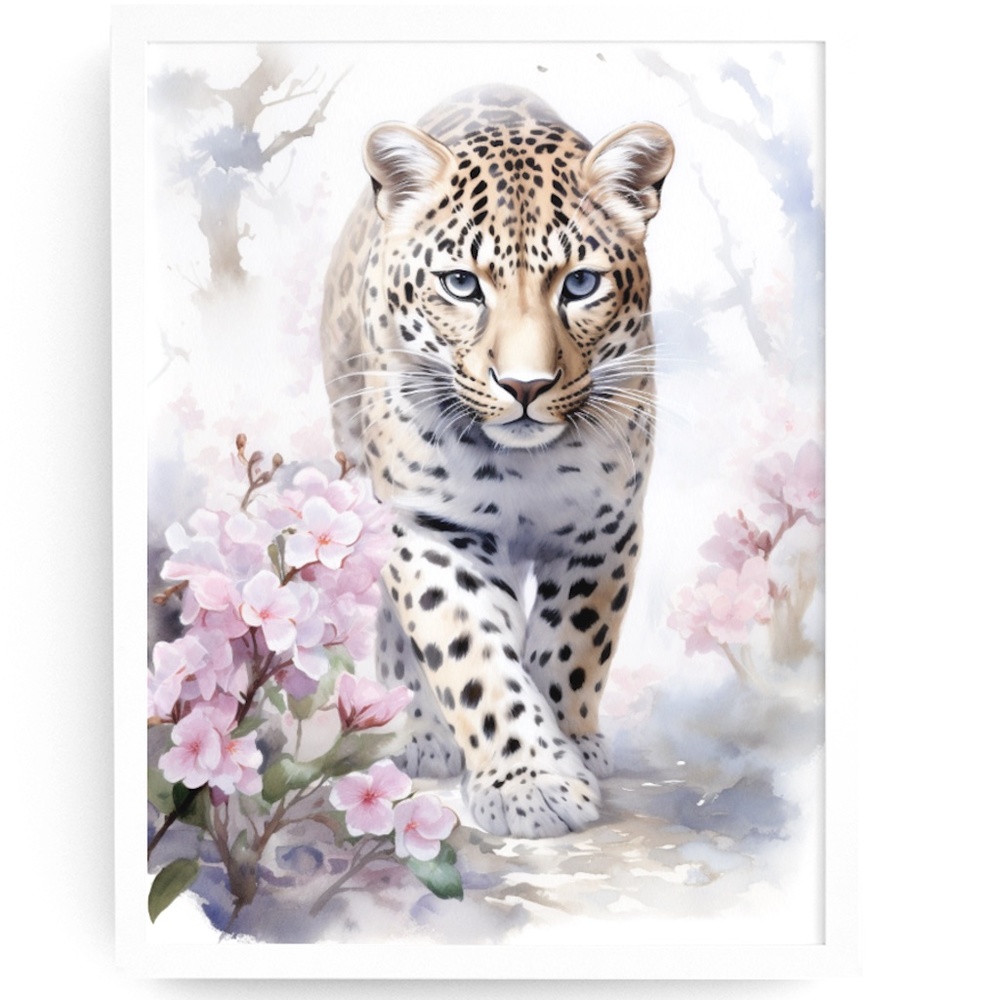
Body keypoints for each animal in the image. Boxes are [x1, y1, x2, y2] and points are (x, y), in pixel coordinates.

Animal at [320, 84, 674, 838]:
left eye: (580, 284)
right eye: (461, 284)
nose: (525, 386)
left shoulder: (604, 529)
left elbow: (573, 648)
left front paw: (571, 745)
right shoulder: (436, 531)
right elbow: (472, 657)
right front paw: (529, 782)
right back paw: (416, 732)